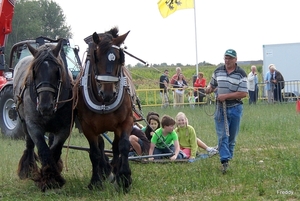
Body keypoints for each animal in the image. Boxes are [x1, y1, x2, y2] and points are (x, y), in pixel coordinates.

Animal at [14, 39, 74, 192]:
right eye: (34, 71)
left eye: (57, 71)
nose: (45, 106)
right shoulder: (33, 125)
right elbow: (43, 150)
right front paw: (48, 179)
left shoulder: (65, 128)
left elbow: (54, 150)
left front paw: (53, 176)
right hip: (24, 123)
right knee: (29, 144)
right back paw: (28, 169)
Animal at [77, 27, 134, 192]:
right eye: (96, 57)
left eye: (120, 58)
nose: (108, 93)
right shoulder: (87, 127)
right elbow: (95, 152)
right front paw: (95, 181)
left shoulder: (127, 121)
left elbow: (123, 146)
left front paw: (125, 177)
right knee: (101, 145)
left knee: (115, 147)